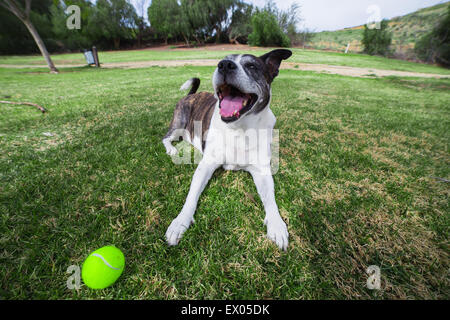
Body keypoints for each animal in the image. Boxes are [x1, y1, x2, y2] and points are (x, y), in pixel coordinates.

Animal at [162, 49, 292, 250]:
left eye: (251, 66)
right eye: (221, 61)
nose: (224, 65)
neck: (239, 128)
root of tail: (191, 95)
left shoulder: (262, 171)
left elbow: (271, 200)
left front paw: (277, 225)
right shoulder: (205, 166)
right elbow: (191, 196)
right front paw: (180, 222)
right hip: (179, 124)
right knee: (166, 138)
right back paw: (172, 150)